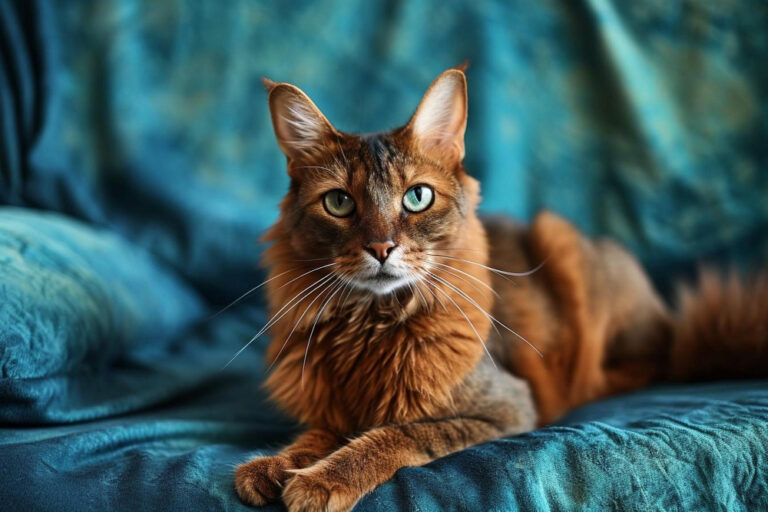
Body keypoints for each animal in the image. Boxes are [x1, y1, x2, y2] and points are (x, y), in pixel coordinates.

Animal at [234, 68, 768, 512]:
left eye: (417, 197)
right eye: (340, 203)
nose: (382, 248)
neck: (372, 321)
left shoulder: (505, 407)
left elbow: (397, 435)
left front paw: (321, 480)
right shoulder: (332, 405)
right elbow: (316, 434)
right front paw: (274, 465)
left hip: (562, 242)